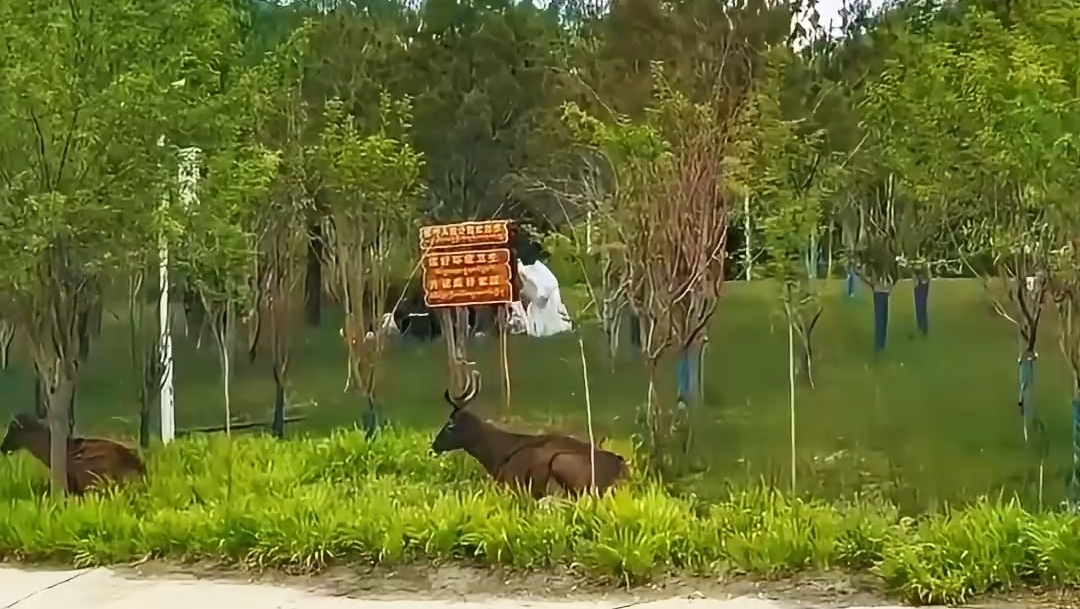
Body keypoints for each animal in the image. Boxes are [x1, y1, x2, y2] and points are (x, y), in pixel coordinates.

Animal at [430, 370, 627, 498]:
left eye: (450, 425)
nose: (434, 445)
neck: (497, 456)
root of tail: (623, 472)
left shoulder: (511, 481)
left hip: (563, 462)